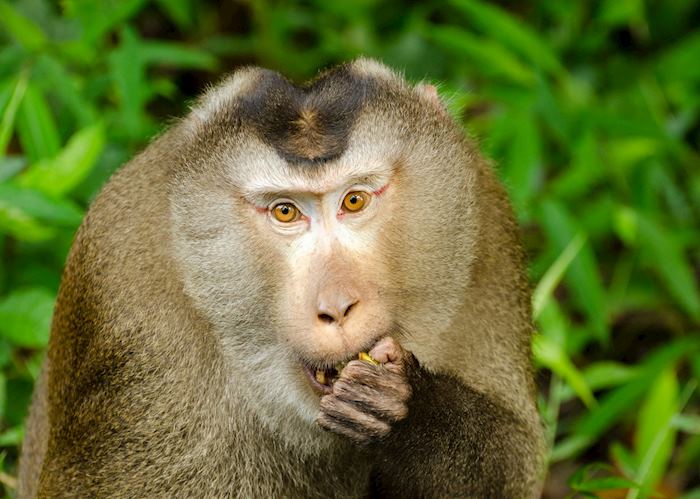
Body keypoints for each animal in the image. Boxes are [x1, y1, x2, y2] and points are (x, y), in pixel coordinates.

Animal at [17, 58, 545, 498]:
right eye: (286, 211)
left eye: (354, 200)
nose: (336, 307)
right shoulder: (128, 299)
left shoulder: (484, 216)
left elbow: (517, 458)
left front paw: (407, 407)